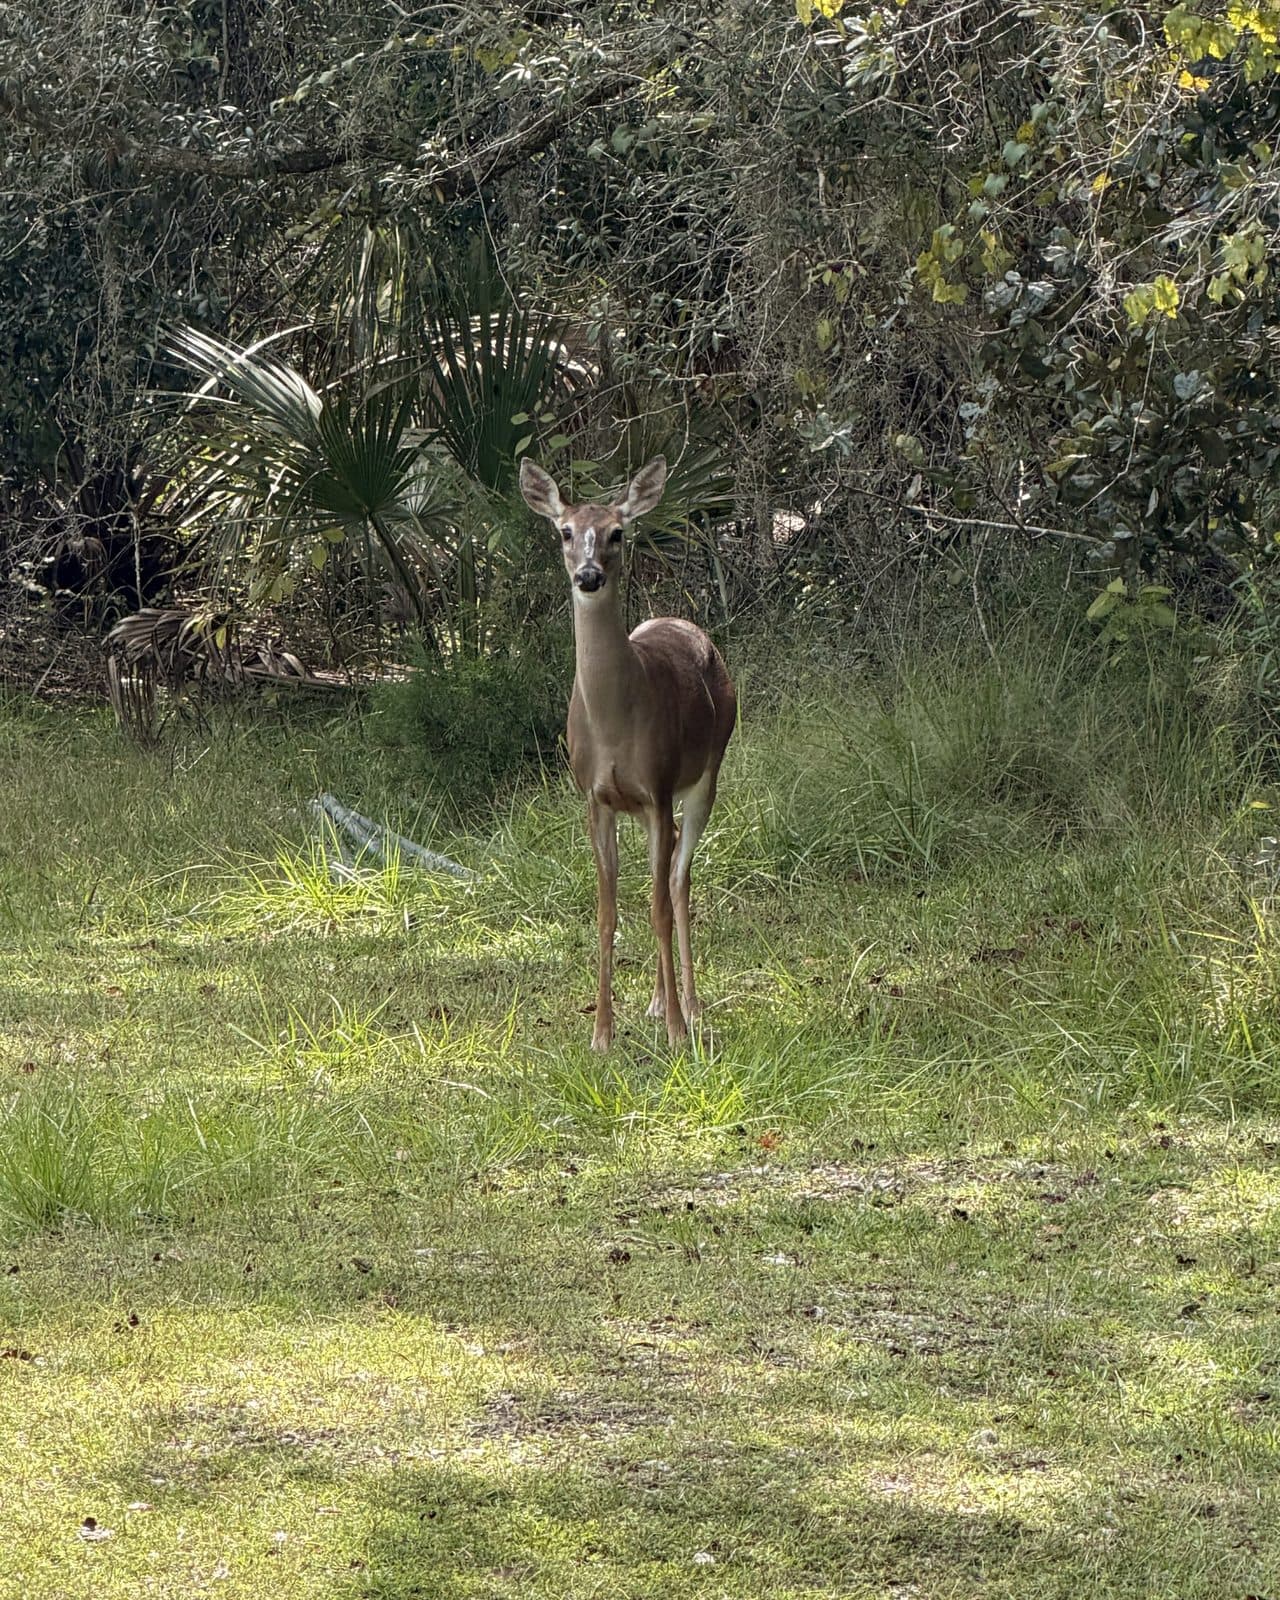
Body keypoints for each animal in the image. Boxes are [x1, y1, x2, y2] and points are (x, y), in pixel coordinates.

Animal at [520, 456, 737, 1052]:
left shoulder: (659, 787)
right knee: (667, 866)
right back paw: (659, 1000)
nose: (588, 575)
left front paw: (678, 1033)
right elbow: (607, 912)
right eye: (565, 531)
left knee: (679, 882)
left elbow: (659, 907)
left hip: (707, 772)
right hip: (641, 809)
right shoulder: (597, 798)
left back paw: (689, 1005)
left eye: (618, 532)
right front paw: (601, 1033)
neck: (616, 724)